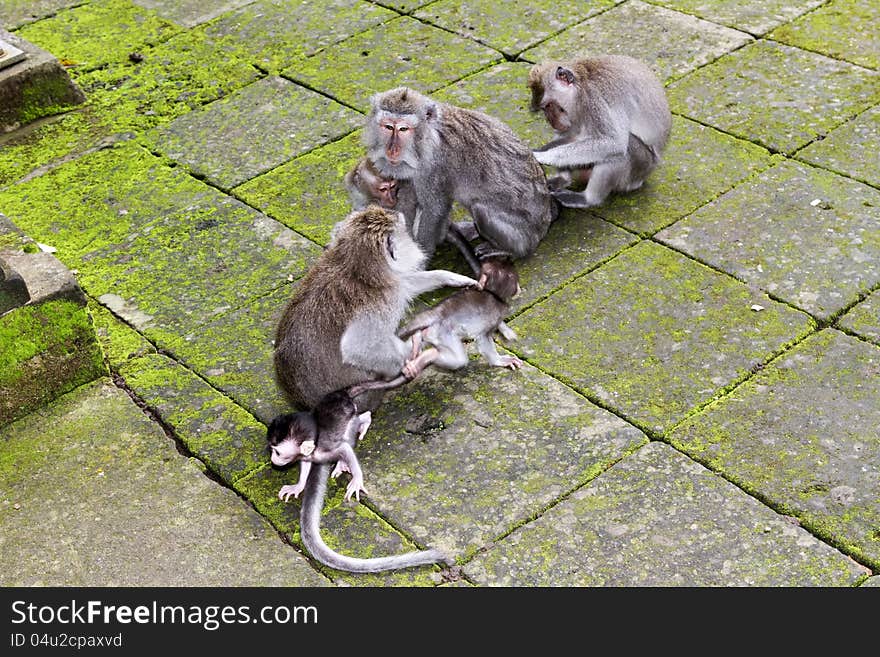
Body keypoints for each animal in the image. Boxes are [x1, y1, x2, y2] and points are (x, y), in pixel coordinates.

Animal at [360, 86, 552, 262]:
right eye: (388, 126)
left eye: (403, 129)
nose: (392, 150)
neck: (428, 137)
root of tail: (544, 225)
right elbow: (407, 203)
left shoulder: (434, 166)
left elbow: (434, 208)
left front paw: (421, 257)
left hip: (522, 236)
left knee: (480, 209)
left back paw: (508, 250)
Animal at [524, 57, 672, 210]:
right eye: (544, 109)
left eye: (548, 105)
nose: (551, 121)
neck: (581, 85)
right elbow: (570, 135)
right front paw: (541, 149)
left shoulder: (594, 100)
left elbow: (614, 143)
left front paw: (544, 156)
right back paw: (564, 179)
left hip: (641, 169)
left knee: (624, 150)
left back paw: (588, 199)